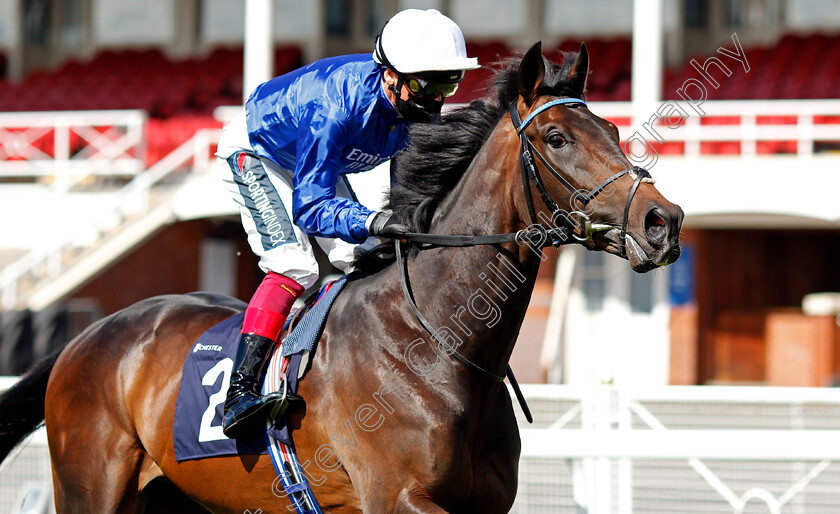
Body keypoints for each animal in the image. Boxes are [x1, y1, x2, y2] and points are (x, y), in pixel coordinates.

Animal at [0, 42, 684, 510]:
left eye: (612, 128)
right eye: (556, 137)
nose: (663, 221)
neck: (437, 341)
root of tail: (90, 338)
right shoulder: (397, 497)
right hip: (92, 486)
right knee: (291, 263)